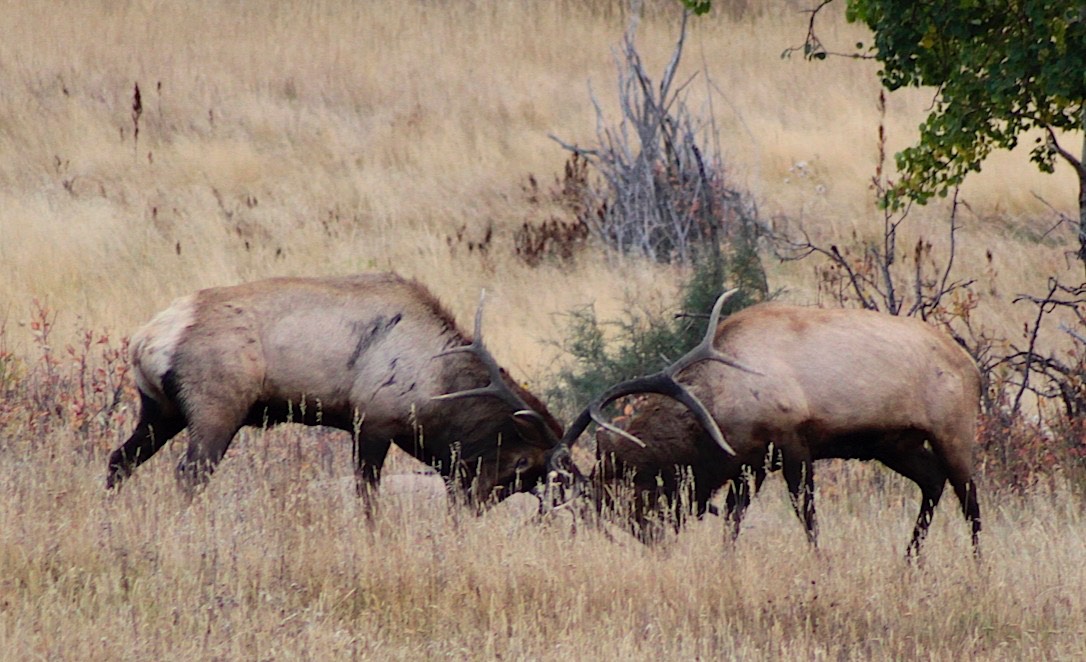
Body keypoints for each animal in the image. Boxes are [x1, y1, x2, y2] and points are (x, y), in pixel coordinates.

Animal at [106, 270, 569, 507]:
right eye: (523, 462)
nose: (472, 506)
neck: (434, 387)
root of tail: (147, 339)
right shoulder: (373, 420)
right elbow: (367, 496)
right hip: (215, 408)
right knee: (190, 473)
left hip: (160, 410)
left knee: (118, 460)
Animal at [551, 290, 986, 553]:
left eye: (626, 499)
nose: (656, 544)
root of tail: (972, 365)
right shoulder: (752, 463)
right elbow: (733, 518)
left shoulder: (792, 442)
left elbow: (806, 515)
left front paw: (821, 563)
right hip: (894, 444)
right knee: (932, 480)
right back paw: (910, 560)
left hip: (953, 430)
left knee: (970, 500)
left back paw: (977, 566)